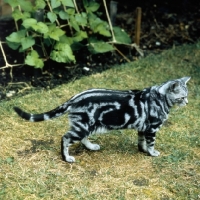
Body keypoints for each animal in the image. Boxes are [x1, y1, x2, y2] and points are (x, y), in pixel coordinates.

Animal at [13, 76, 191, 162]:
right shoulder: (152, 128)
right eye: (182, 97)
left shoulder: (143, 128)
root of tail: (73, 98)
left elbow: (142, 142)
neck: (159, 97)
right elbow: (151, 143)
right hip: (83, 126)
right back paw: (66, 158)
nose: (188, 102)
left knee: (82, 138)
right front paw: (152, 153)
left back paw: (91, 147)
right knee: (65, 138)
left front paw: (144, 151)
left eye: (187, 96)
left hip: (87, 125)